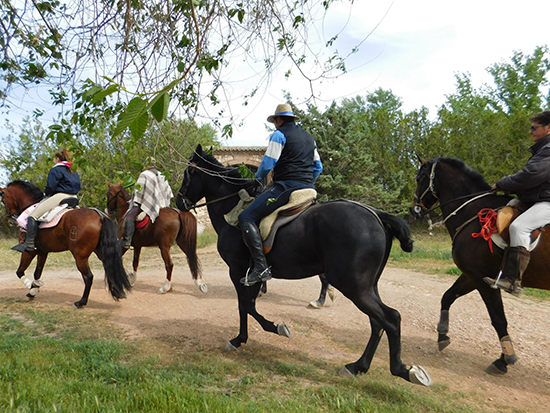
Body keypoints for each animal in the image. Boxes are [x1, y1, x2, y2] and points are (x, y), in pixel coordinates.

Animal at [0, 179, 132, 308]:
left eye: (3, 200)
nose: (11, 220)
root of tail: (99, 216)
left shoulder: (29, 251)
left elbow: (19, 271)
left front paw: (31, 289)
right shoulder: (42, 251)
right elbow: (37, 272)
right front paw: (33, 291)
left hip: (80, 256)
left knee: (88, 277)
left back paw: (81, 302)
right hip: (101, 252)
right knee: (111, 268)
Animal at [412, 157, 550, 374]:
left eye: (420, 178)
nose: (413, 209)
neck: (474, 213)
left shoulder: (484, 280)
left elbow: (499, 319)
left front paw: (505, 359)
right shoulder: (471, 275)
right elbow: (447, 296)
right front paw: (442, 334)